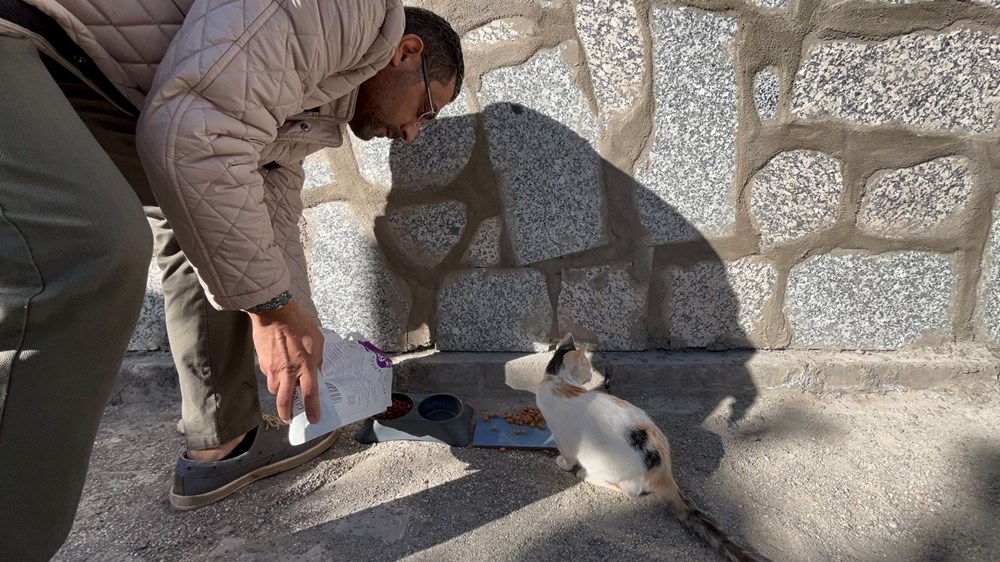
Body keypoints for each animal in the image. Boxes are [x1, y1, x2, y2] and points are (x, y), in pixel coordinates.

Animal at [540, 332, 764, 560]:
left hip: (601, 462)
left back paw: (584, 474)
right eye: (587, 365)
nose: (591, 375)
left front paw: (563, 463)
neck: (557, 380)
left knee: (628, 490)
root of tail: (663, 469)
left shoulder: (563, 437)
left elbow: (567, 456)